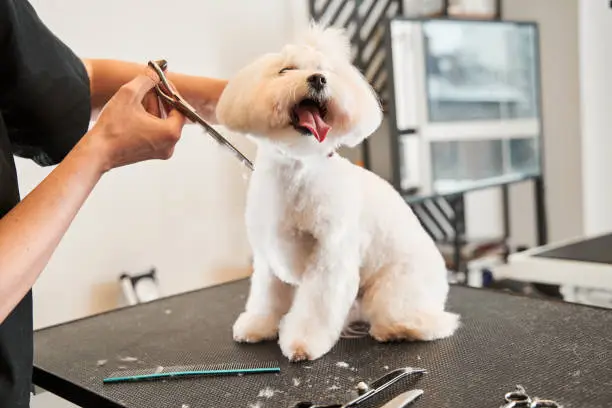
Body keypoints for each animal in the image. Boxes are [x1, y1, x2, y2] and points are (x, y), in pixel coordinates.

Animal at [215, 24, 460, 360]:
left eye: (326, 71)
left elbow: (315, 307)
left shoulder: (330, 257)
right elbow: (267, 297)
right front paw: (259, 325)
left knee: (431, 321)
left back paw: (397, 329)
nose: (318, 79)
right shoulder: (267, 256)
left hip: (395, 288)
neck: (297, 168)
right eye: (286, 70)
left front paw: (302, 343)